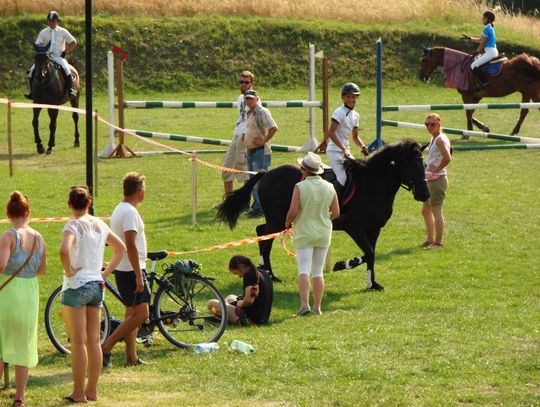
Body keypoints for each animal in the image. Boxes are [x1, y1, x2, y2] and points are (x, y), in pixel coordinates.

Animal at [217, 140, 430, 291]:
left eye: (425, 164)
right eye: (411, 165)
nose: (424, 195)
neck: (372, 184)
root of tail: (267, 173)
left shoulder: (374, 229)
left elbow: (371, 254)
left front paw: (372, 284)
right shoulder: (355, 228)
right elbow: (368, 253)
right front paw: (342, 264)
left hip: (279, 220)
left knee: (263, 234)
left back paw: (269, 274)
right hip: (278, 219)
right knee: (264, 235)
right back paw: (269, 274)